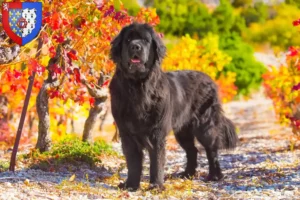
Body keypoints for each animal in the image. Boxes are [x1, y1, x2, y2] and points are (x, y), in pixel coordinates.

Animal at [109, 23, 238, 191]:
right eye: (128, 40)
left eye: (145, 40)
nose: (135, 46)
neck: (138, 87)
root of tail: (209, 79)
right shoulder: (127, 132)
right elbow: (133, 161)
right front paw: (131, 185)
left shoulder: (157, 132)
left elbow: (157, 160)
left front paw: (156, 185)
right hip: (183, 130)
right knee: (192, 150)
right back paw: (187, 174)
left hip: (205, 125)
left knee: (211, 149)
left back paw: (215, 176)